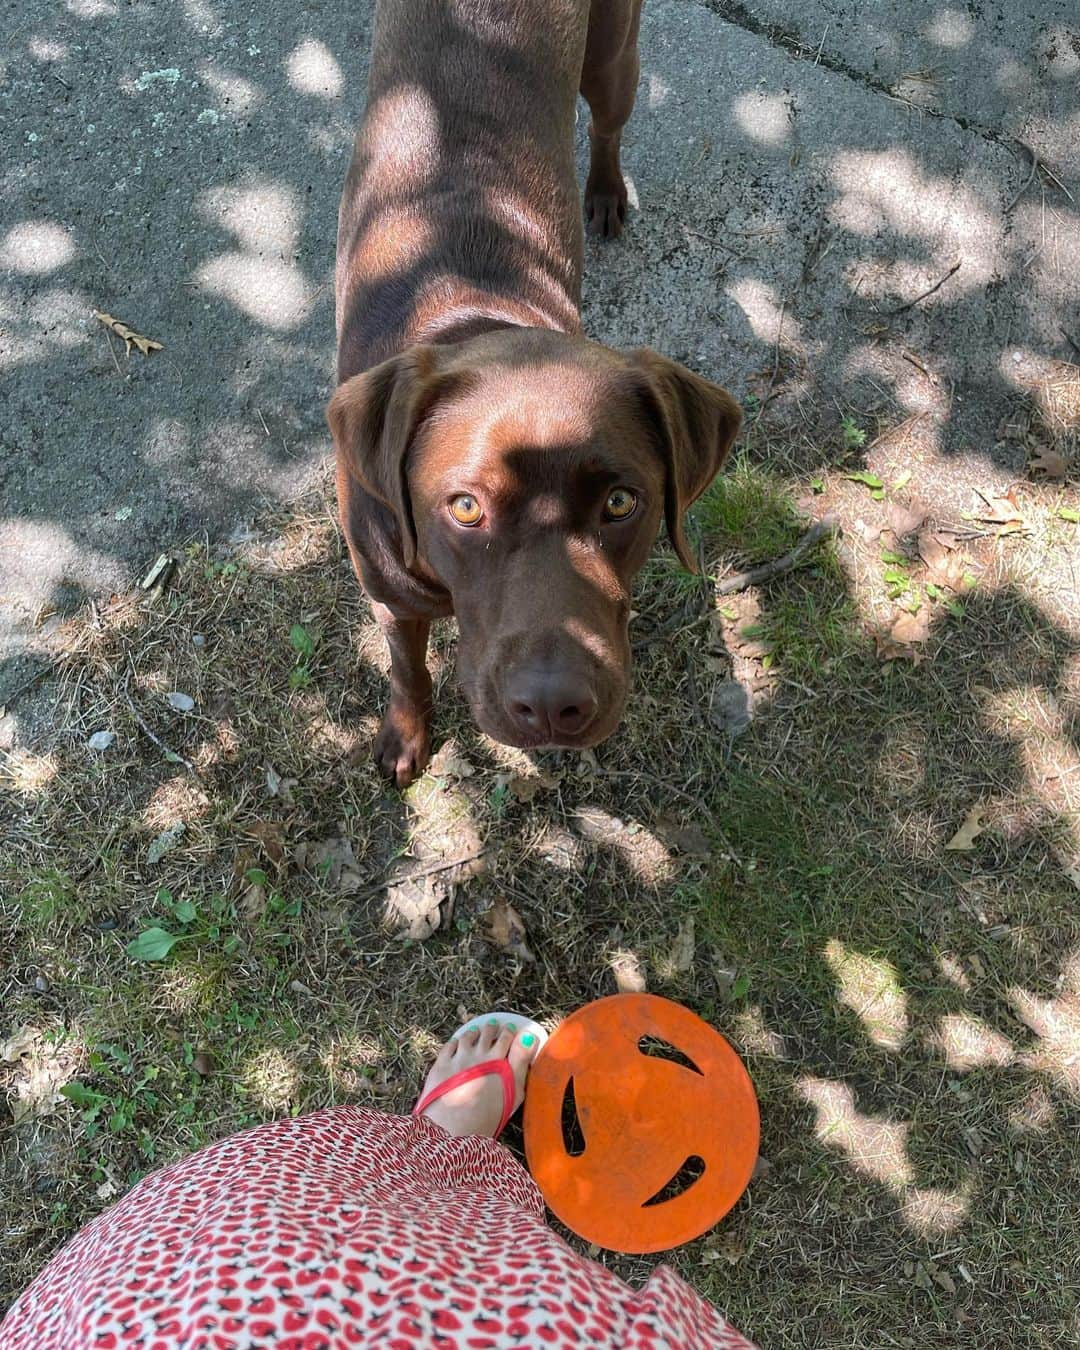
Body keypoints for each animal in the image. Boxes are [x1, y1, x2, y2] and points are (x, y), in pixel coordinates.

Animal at [325, 0, 739, 788]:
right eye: (464, 507)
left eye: (621, 503)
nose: (552, 707)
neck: (473, 313)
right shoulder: (388, 598)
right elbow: (407, 669)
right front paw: (405, 737)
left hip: (612, 58)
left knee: (607, 122)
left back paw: (605, 192)